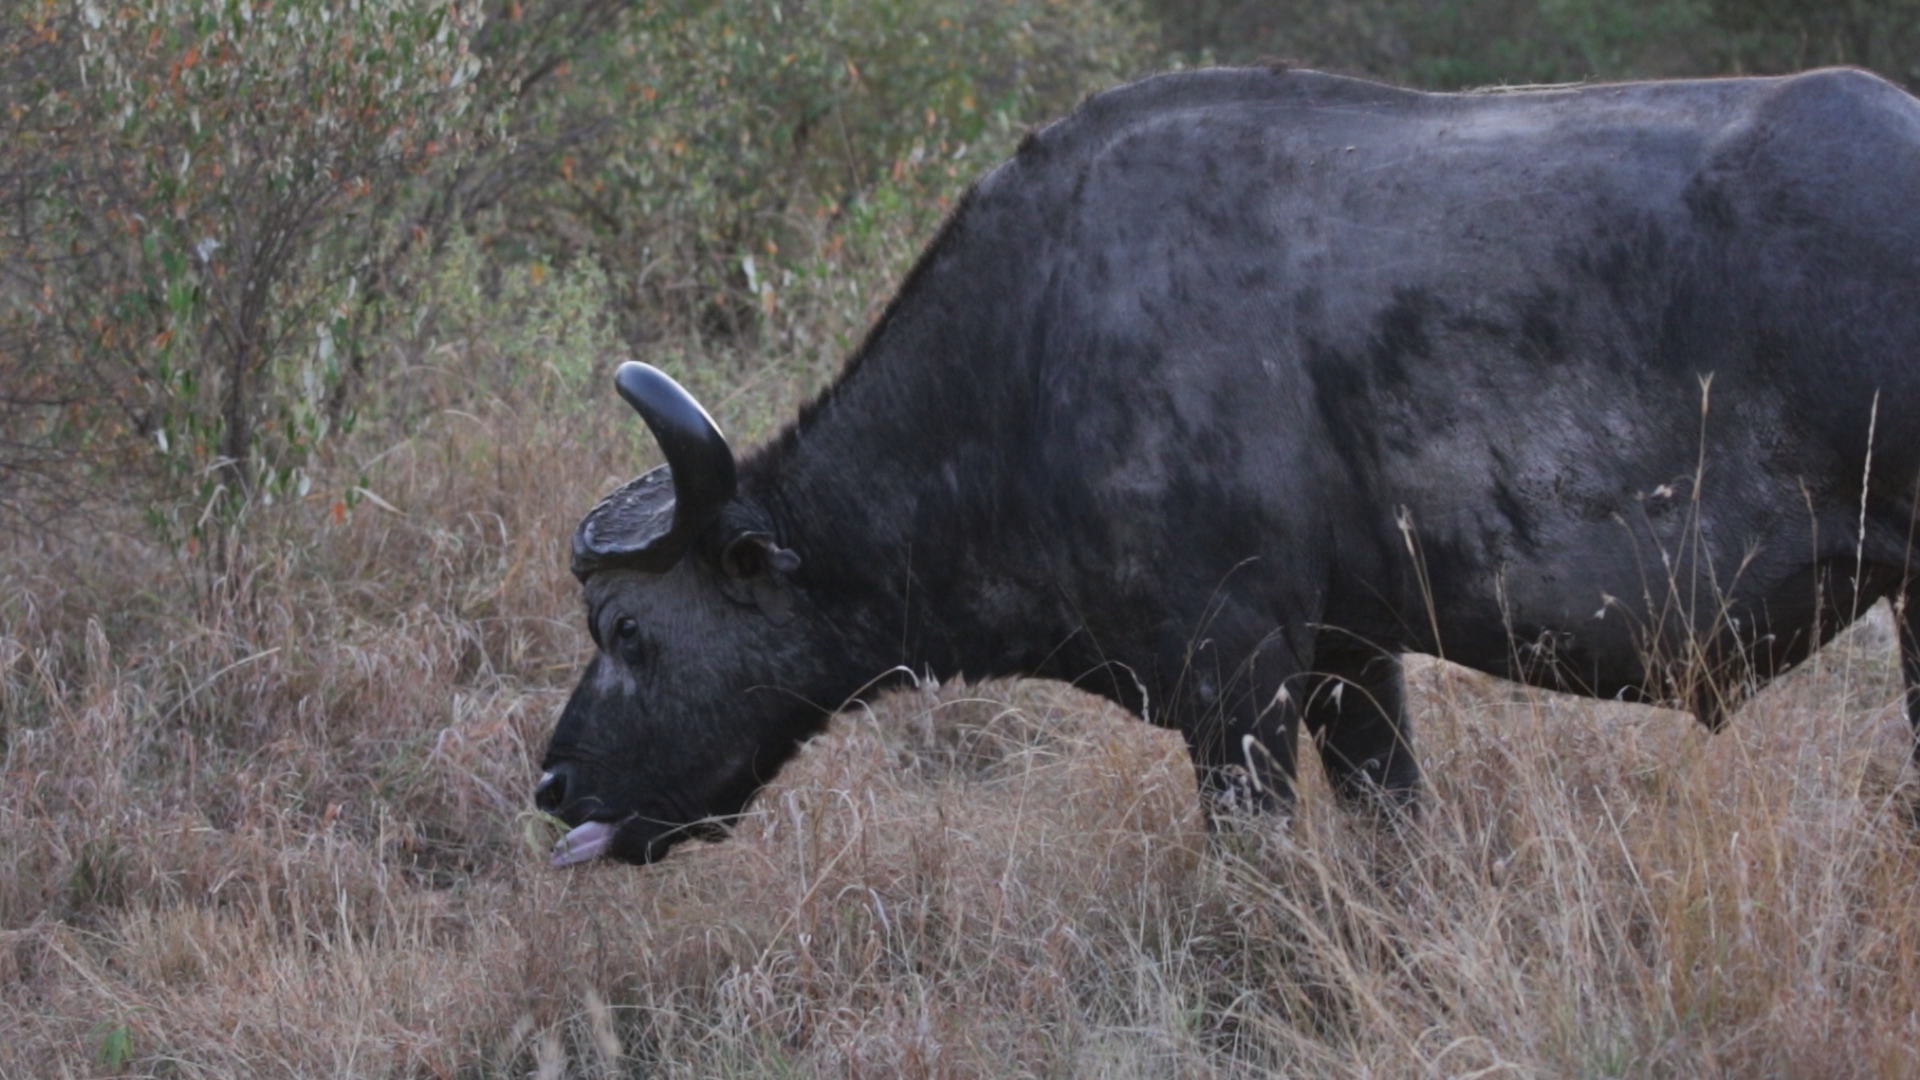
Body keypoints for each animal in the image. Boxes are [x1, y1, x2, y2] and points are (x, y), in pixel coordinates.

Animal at [533, 62, 1920, 860]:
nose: (551, 782)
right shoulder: (1355, 658)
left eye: (629, 632)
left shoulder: (1232, 673)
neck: (1032, 350)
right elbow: (1394, 844)